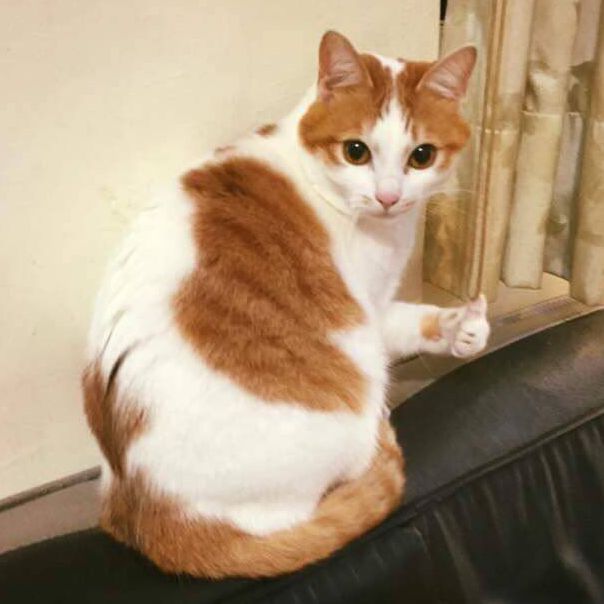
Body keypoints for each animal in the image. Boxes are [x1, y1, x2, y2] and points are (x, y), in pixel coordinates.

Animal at [83, 31, 487, 578]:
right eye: (356, 151)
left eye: (421, 156)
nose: (388, 197)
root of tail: (149, 513)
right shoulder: (360, 312)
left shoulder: (374, 309)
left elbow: (410, 323)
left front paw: (463, 328)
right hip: (347, 405)